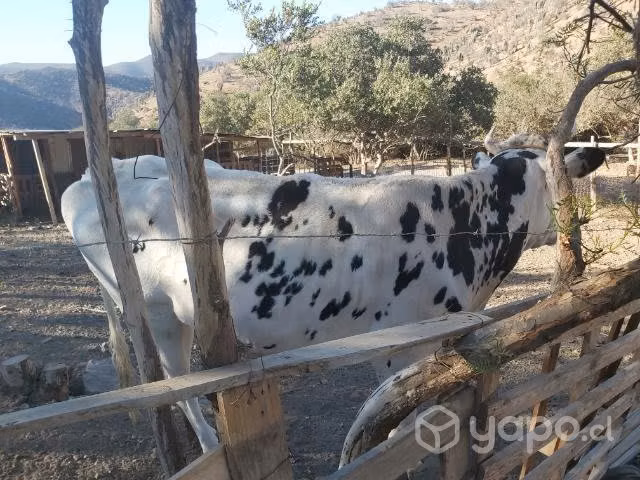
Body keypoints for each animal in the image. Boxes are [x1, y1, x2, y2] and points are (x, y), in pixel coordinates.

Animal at [60, 132, 605, 454]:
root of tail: (94, 176)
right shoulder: (400, 345)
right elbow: (403, 422)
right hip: (159, 313)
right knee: (177, 383)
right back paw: (212, 441)